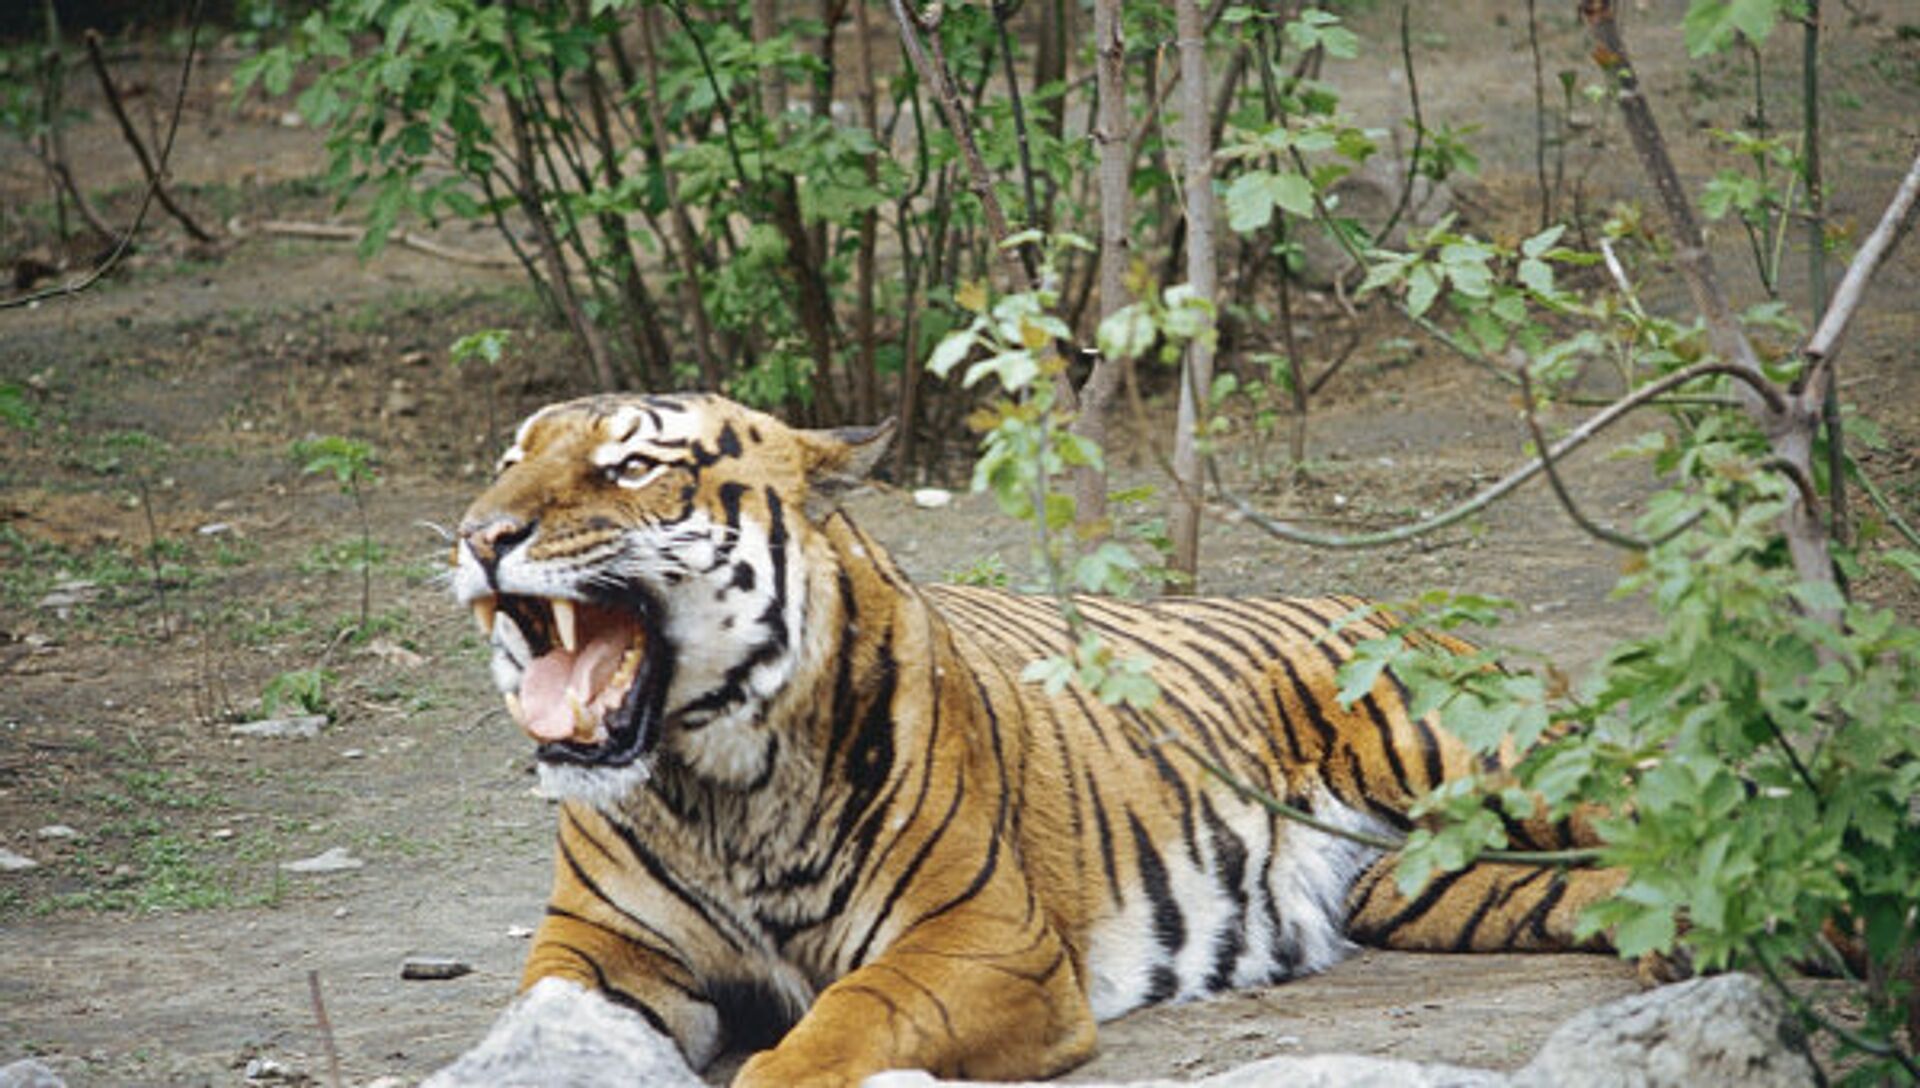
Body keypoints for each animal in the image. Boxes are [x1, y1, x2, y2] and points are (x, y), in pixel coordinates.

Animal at [439, 393, 1620, 1088]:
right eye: (506, 459)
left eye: (633, 467)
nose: (480, 535)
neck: (711, 781)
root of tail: (1390, 607)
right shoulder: (598, 947)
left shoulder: (982, 939)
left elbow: (845, 1019)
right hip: (1443, 883)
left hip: (1488, 760)